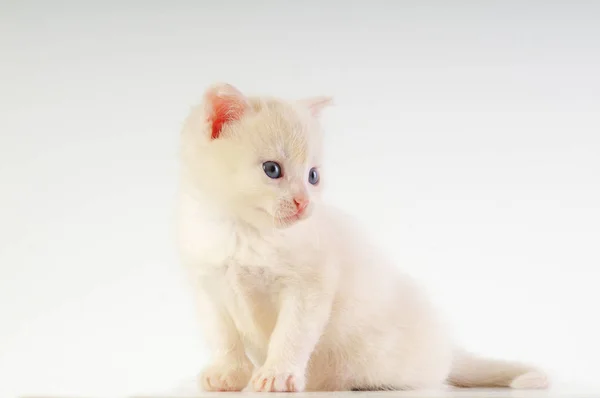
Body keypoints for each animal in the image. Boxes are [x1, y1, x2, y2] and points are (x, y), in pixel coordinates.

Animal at [175, 82, 548, 394]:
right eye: (272, 170)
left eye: (313, 176)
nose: (303, 202)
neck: (241, 232)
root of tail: (448, 349)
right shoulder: (207, 287)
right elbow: (222, 335)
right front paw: (228, 373)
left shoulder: (310, 287)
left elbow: (291, 334)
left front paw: (278, 374)